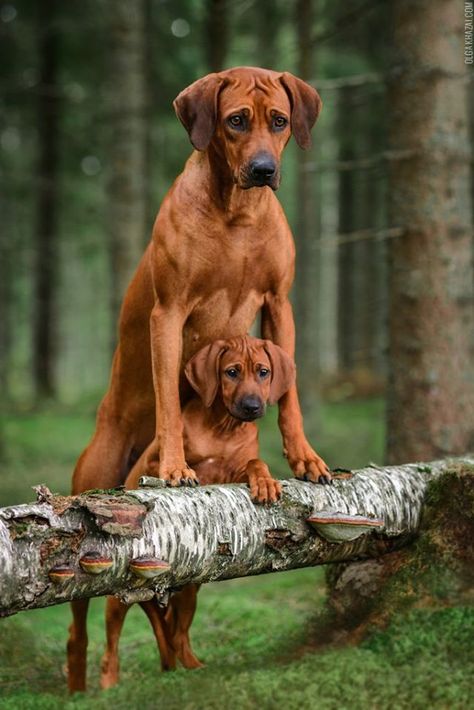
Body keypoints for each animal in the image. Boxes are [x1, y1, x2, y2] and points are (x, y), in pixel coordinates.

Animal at [99, 336, 292, 692]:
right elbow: (178, 469)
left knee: (176, 636)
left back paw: (192, 669)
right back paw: (109, 684)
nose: (252, 406)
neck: (223, 428)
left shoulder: (235, 470)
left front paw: (266, 481)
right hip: (117, 601)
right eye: (231, 372)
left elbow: (254, 462)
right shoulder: (154, 461)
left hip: (189, 591)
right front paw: (187, 473)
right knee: (112, 645)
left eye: (263, 372)